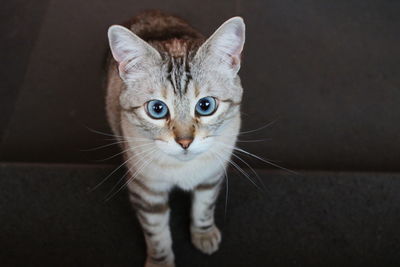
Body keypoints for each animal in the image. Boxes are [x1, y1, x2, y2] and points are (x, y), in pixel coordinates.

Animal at [104, 10, 245, 267]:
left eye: (206, 106)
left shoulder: (211, 175)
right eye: (157, 109)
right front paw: (160, 262)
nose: (185, 142)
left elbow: (204, 208)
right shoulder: (145, 191)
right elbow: (156, 233)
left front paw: (204, 235)